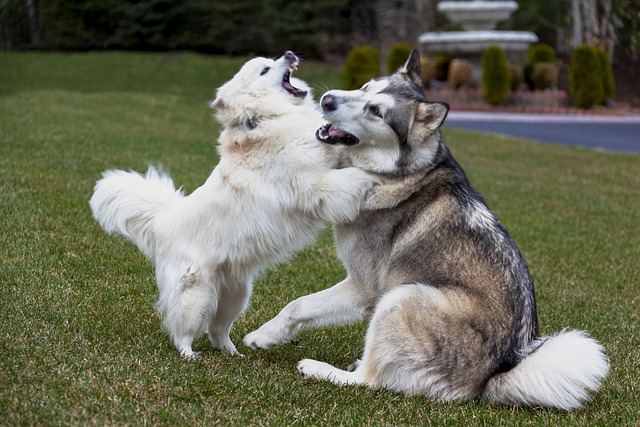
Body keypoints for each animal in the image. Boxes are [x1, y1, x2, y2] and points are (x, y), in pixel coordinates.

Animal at [87, 51, 372, 358]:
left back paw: (234, 353)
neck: (274, 118)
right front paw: (377, 176)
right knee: (182, 332)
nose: (289, 54)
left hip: (236, 295)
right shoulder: (316, 184)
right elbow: (350, 178)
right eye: (265, 69)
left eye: (272, 59)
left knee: (217, 330)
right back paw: (190, 356)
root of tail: (164, 222)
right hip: (196, 295)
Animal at [245, 49, 608, 412]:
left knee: (369, 381)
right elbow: (296, 305)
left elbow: (300, 304)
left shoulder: (365, 287)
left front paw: (262, 336)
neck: (399, 173)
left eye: (376, 111)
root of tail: (489, 380)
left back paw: (322, 369)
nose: (328, 99)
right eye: (365, 87)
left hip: (403, 297)